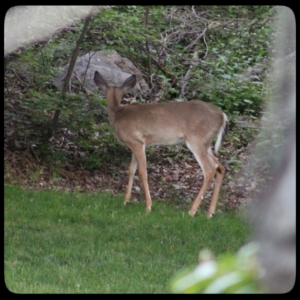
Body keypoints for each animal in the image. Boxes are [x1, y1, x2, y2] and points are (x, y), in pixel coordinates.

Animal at [94, 72, 227, 218]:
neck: (118, 114)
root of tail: (223, 116)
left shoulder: (136, 142)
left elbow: (142, 171)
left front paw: (148, 206)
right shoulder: (136, 144)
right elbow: (131, 170)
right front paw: (126, 200)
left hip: (196, 140)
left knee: (209, 170)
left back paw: (192, 211)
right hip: (206, 143)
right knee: (220, 168)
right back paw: (210, 213)